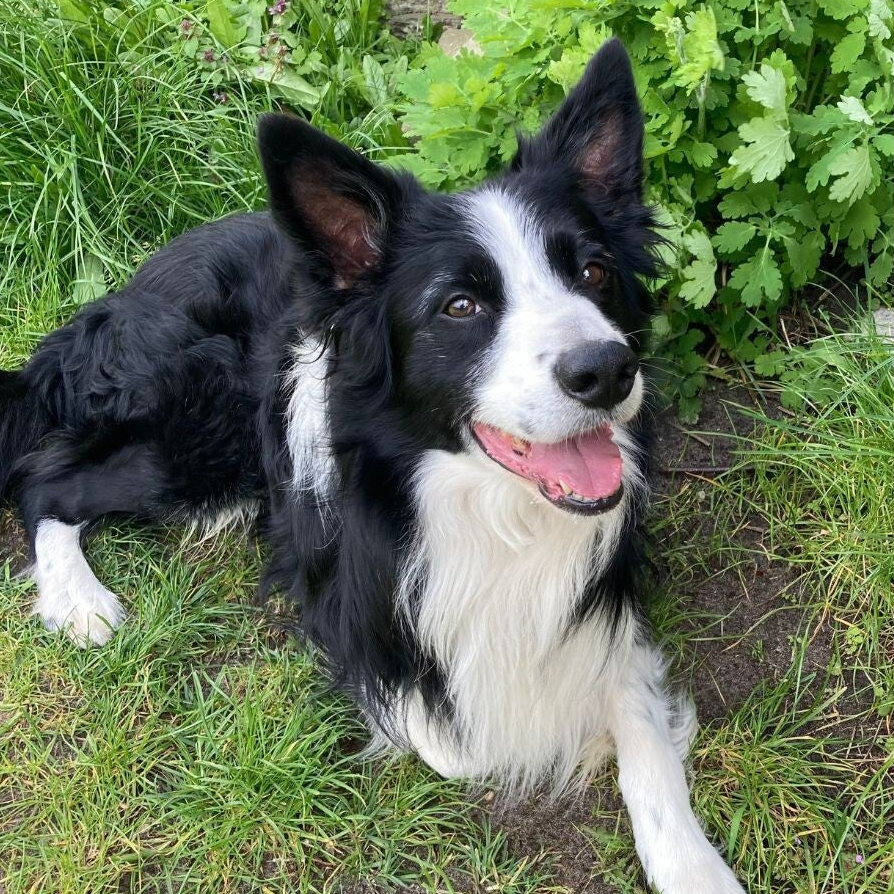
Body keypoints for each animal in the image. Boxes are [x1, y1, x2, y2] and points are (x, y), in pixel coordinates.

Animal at [0, 39, 745, 893]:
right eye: (459, 306)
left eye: (592, 272)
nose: (607, 371)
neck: (494, 509)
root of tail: (123, 292)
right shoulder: (351, 610)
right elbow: (455, 736)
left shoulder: (606, 603)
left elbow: (638, 727)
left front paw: (692, 865)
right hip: (200, 423)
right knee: (43, 479)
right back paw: (80, 602)